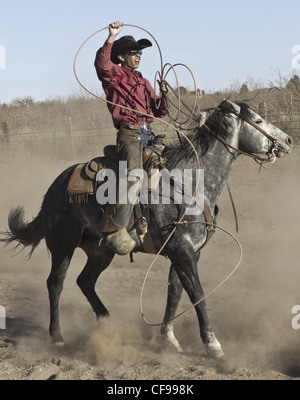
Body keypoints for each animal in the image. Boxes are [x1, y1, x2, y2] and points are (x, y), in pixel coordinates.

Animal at [0, 100, 292, 360]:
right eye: (257, 121)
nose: (288, 140)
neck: (188, 184)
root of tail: (54, 188)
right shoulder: (183, 252)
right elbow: (197, 295)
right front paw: (213, 345)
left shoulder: (187, 253)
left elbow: (175, 293)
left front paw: (168, 339)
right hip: (63, 246)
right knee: (55, 284)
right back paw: (57, 337)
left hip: (99, 251)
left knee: (85, 281)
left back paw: (106, 323)